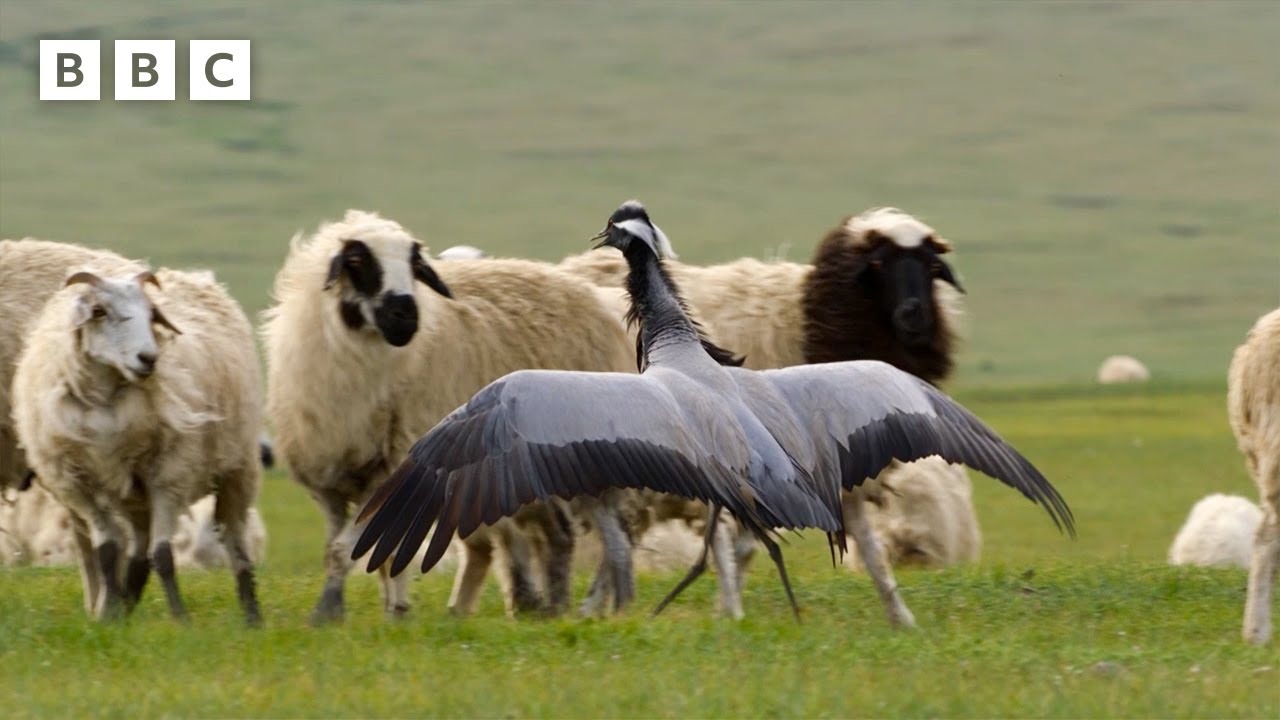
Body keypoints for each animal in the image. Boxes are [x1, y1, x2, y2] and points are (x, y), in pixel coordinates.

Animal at [11, 267, 264, 624]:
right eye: (99, 311)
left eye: (151, 313)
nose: (148, 358)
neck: (105, 402)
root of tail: (196, 276)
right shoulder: (83, 485)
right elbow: (107, 551)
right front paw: (109, 618)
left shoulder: (169, 475)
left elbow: (163, 554)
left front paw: (180, 619)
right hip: (134, 494)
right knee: (138, 551)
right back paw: (125, 608)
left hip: (236, 468)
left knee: (235, 541)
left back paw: (252, 616)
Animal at [260, 209, 637, 624]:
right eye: (357, 260)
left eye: (414, 262)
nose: (406, 316)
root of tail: (597, 301)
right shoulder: (329, 478)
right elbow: (357, 549)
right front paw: (385, 611)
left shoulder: (394, 466)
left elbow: (355, 548)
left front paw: (332, 612)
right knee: (559, 533)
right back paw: (552, 607)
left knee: (615, 534)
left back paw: (600, 606)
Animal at [562, 207, 974, 624]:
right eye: (878, 263)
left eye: (930, 266)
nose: (914, 315)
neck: (810, 319)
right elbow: (746, 544)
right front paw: (729, 609)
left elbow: (869, 547)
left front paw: (900, 616)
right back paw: (593, 606)